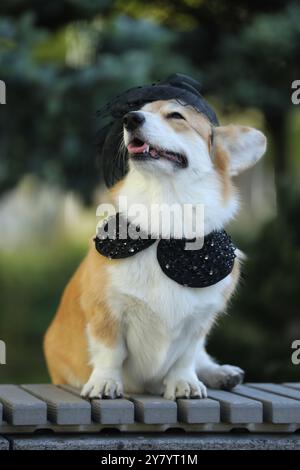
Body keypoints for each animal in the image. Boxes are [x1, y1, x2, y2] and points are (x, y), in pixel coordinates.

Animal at [43, 92, 266, 400]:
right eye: (139, 111)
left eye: (176, 116)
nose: (130, 119)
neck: (165, 229)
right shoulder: (106, 310)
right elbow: (109, 352)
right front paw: (105, 382)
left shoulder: (199, 322)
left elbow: (186, 357)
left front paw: (184, 383)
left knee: (201, 359)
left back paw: (220, 373)